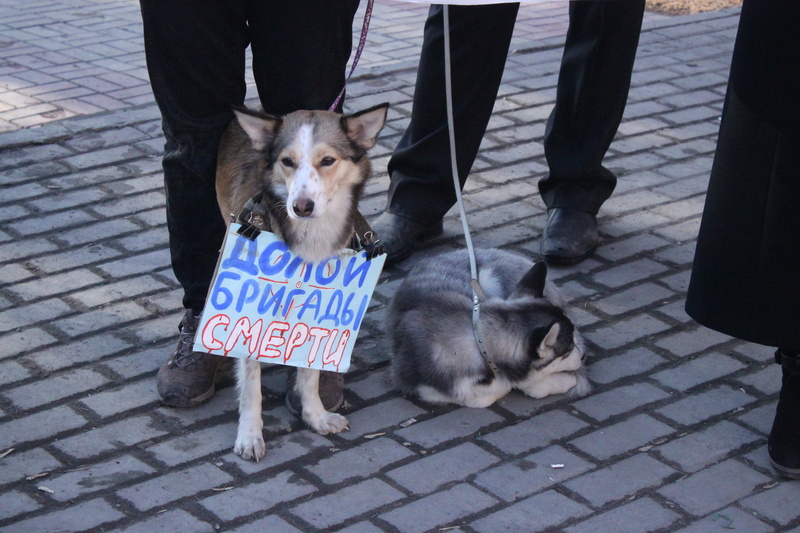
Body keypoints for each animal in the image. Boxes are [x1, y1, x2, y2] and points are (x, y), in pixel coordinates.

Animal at [212, 102, 388, 460]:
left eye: (328, 160)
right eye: (287, 161)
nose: (301, 207)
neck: (310, 238)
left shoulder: (318, 303)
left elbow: (310, 374)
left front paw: (315, 416)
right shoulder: (253, 308)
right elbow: (251, 384)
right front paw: (249, 436)